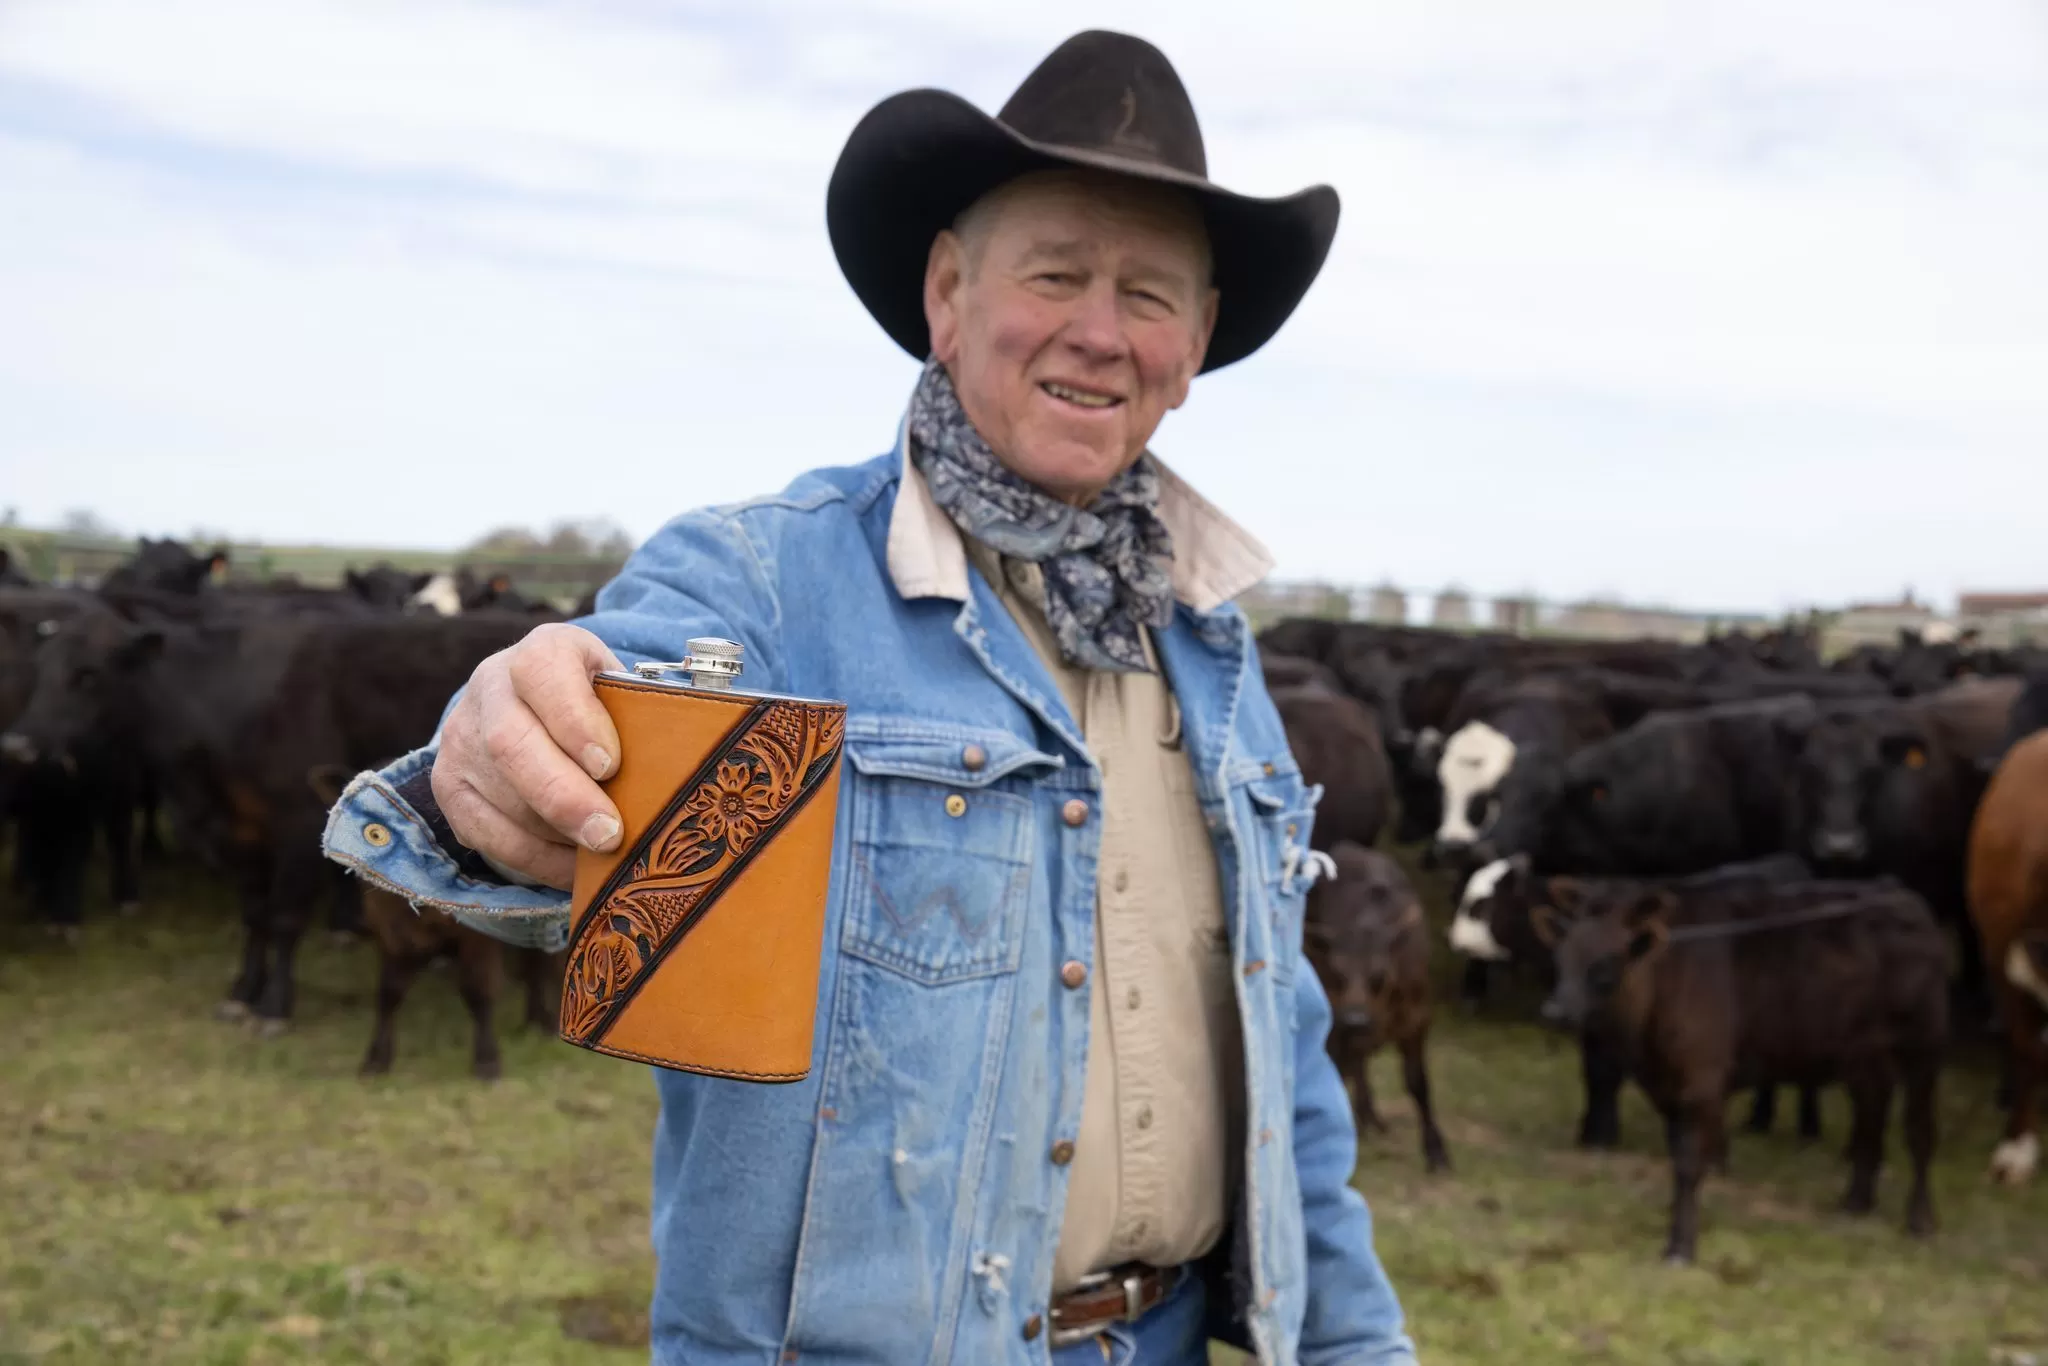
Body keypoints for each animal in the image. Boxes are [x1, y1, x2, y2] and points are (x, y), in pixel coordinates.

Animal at [358, 888, 565, 1081]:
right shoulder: (388, 924)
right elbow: (389, 993)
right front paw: (377, 1059)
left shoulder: (477, 935)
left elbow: (477, 991)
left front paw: (487, 1060)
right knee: (535, 965)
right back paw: (534, 1020)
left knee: (549, 964)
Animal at [1302, 843, 1449, 1179]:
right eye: (1336, 973)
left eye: (1379, 975)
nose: (1356, 1020)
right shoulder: (1335, 1025)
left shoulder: (1418, 1019)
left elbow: (1418, 1083)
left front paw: (1436, 1151)